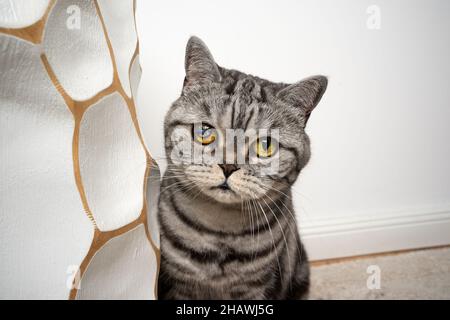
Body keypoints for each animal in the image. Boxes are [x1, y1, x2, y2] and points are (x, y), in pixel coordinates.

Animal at [157, 37, 326, 300]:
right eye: (205, 131)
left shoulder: (257, 288)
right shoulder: (178, 284)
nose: (228, 165)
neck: (220, 230)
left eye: (265, 145)